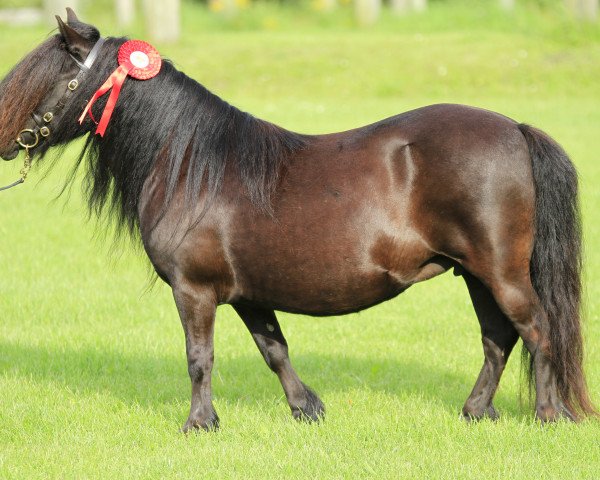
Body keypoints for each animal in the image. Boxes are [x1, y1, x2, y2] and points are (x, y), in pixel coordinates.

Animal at [0, 10, 596, 432]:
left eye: (45, 76)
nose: (5, 141)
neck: (190, 164)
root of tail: (514, 128)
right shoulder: (249, 294)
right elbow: (274, 350)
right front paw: (306, 408)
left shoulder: (194, 290)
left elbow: (199, 357)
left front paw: (199, 424)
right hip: (473, 272)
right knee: (499, 337)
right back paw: (477, 410)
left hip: (499, 270)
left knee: (536, 329)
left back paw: (548, 415)